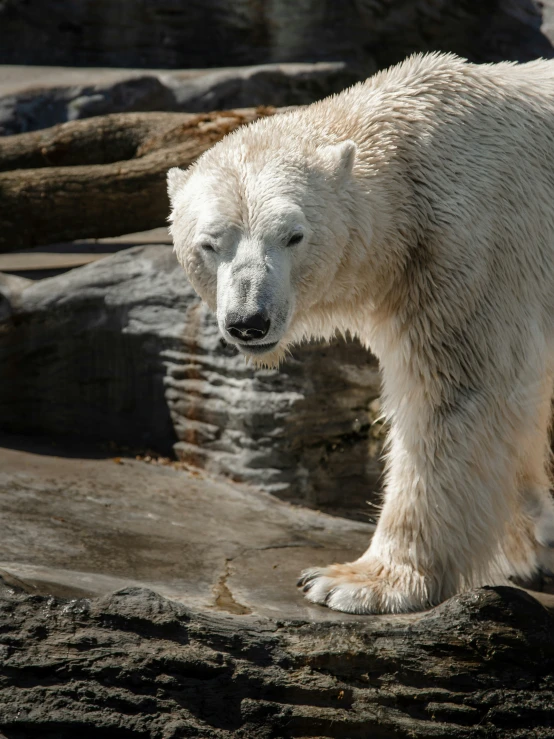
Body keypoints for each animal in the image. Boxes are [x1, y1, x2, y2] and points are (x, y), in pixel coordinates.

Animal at [166, 55, 552, 616]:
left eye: (293, 235)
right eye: (210, 243)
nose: (249, 320)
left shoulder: (472, 249)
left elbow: (456, 394)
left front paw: (358, 581)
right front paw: (531, 541)